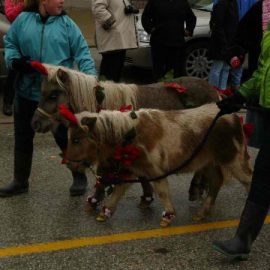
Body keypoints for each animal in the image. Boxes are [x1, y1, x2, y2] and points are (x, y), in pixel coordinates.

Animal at [31, 63, 221, 213]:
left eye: (53, 95)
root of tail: (215, 92)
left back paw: (195, 189)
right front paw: (146, 197)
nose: (35, 123)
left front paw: (95, 201)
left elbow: (104, 173)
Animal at [64, 104, 252, 227]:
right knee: (216, 182)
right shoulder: (132, 170)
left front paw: (167, 217)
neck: (129, 135)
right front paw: (104, 214)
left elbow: (161, 190)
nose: (66, 161)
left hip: (233, 159)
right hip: (210, 162)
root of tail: (235, 117)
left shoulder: (154, 169)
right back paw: (200, 215)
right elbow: (119, 191)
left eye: (76, 139)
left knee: (248, 179)